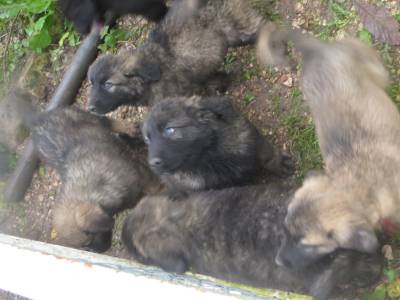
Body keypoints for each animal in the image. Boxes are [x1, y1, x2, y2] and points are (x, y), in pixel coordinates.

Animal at [30, 106, 158, 252]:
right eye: (86, 247)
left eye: (92, 236)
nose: (98, 251)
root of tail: (39, 119)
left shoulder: (141, 175)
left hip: (87, 118)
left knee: (106, 120)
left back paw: (129, 128)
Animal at [86, 0, 264, 114]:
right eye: (91, 84)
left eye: (108, 84)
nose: (90, 108)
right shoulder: (200, 75)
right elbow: (214, 77)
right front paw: (223, 84)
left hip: (238, 28)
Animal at [142, 96, 292, 199]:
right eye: (147, 139)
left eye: (169, 130)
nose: (152, 163)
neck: (209, 158)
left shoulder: (248, 137)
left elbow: (266, 154)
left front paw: (279, 163)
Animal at [258, 24, 398, 268]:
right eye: (285, 229)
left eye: (307, 245)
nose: (278, 261)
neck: (363, 183)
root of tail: (316, 50)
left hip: (376, 69)